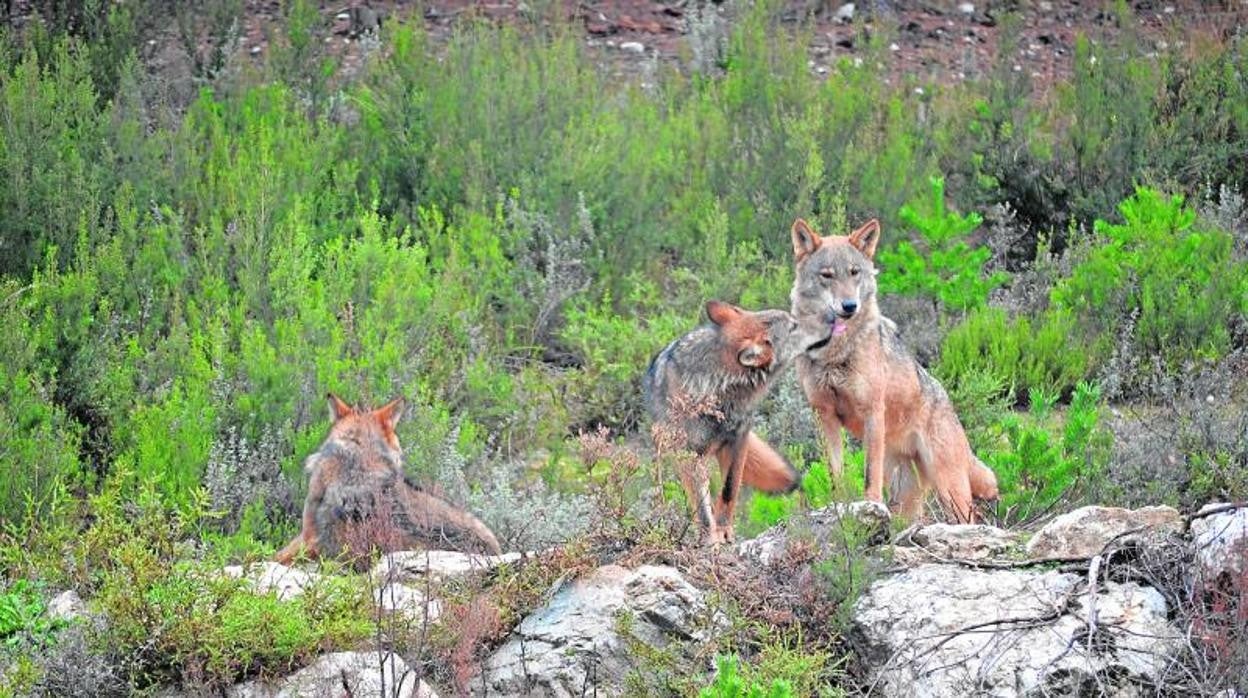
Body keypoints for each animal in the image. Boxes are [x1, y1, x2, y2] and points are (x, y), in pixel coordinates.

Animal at [643, 300, 818, 546]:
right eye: (794, 326)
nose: (830, 317)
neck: (716, 390)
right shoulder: (688, 454)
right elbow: (701, 508)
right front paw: (710, 538)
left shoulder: (737, 441)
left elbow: (728, 490)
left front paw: (724, 530)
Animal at [788, 219, 1003, 524]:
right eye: (827, 275)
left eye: (854, 272)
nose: (849, 306)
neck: (835, 352)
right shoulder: (824, 416)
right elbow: (835, 474)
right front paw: (838, 507)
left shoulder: (872, 412)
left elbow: (869, 474)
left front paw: (870, 506)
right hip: (908, 497)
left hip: (950, 490)